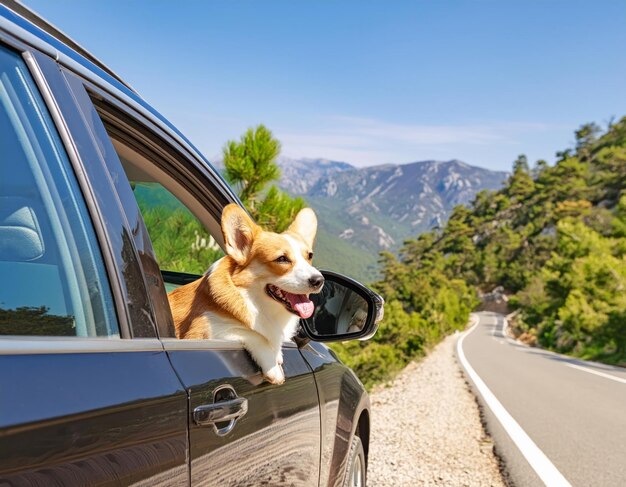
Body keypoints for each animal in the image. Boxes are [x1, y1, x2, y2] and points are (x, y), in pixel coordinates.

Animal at [167, 203, 322, 386]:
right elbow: (253, 334)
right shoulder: (202, 333)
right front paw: (274, 367)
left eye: (309, 256)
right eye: (282, 259)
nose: (319, 280)